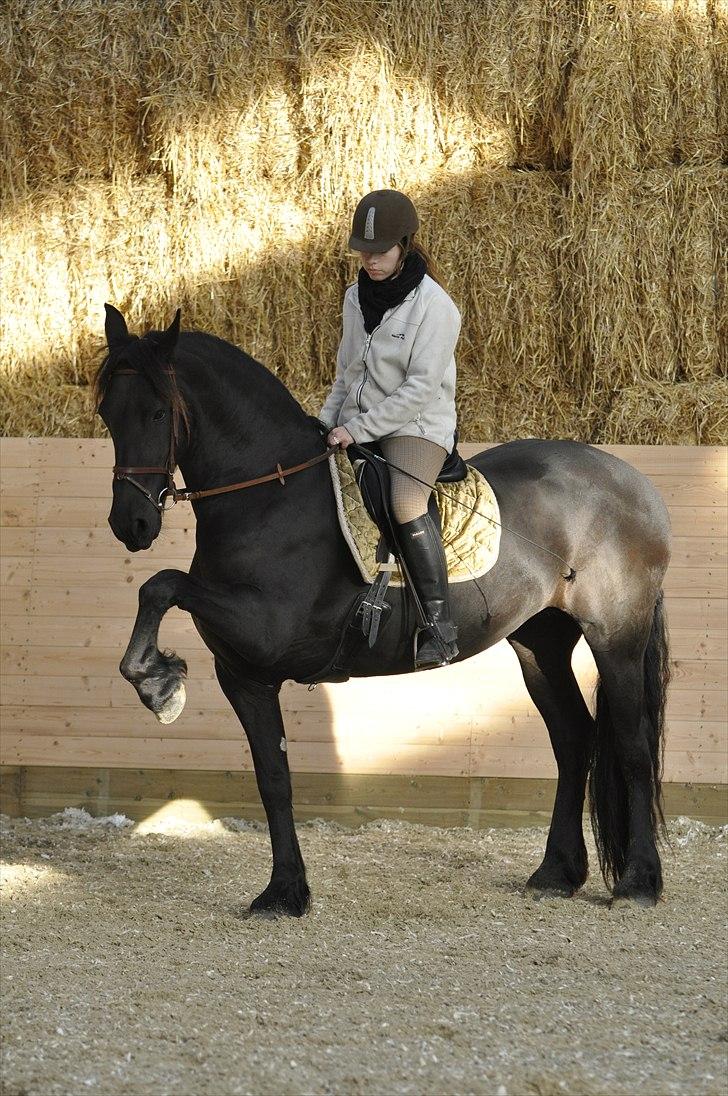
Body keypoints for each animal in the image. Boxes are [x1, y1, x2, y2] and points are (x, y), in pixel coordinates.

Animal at [95, 309, 670, 916]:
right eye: (107, 413)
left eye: (158, 412)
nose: (131, 523)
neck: (269, 494)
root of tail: (635, 484)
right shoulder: (246, 676)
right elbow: (273, 778)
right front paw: (284, 892)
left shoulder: (265, 626)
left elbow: (162, 584)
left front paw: (157, 682)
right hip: (541, 642)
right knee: (573, 738)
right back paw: (557, 872)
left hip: (616, 639)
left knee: (631, 745)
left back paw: (639, 882)